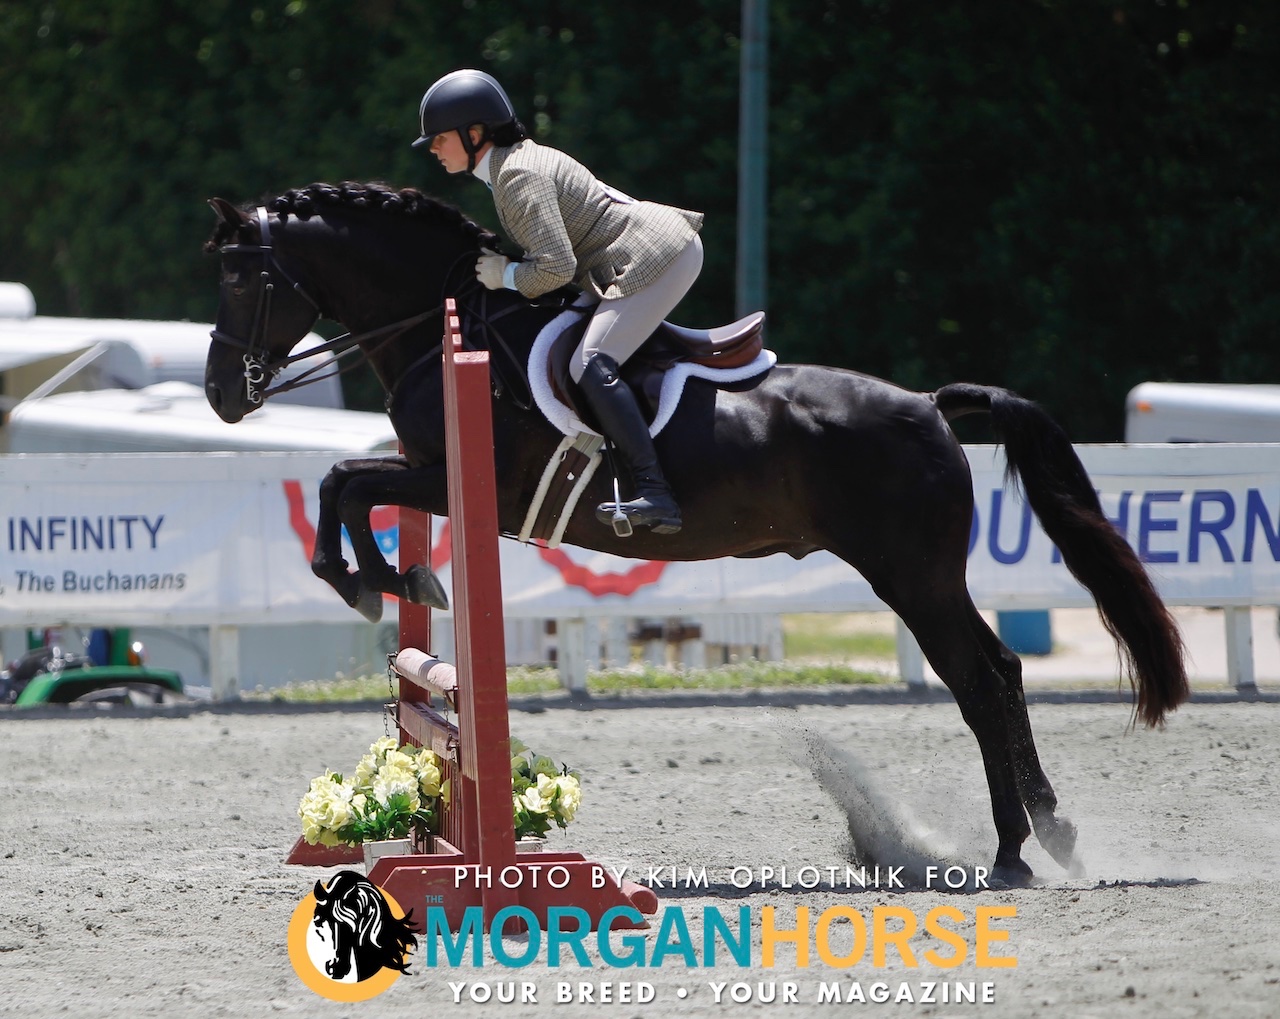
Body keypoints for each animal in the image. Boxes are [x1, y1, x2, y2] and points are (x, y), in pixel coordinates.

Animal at [202, 183, 1187, 885]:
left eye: (243, 278)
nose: (220, 396)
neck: (448, 321)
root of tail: (928, 404)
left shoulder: (455, 483)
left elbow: (341, 483)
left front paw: (377, 581)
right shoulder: (429, 479)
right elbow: (345, 486)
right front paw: (393, 581)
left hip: (913, 577)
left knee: (981, 682)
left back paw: (1014, 851)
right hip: (924, 578)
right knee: (1004, 671)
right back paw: (1053, 832)